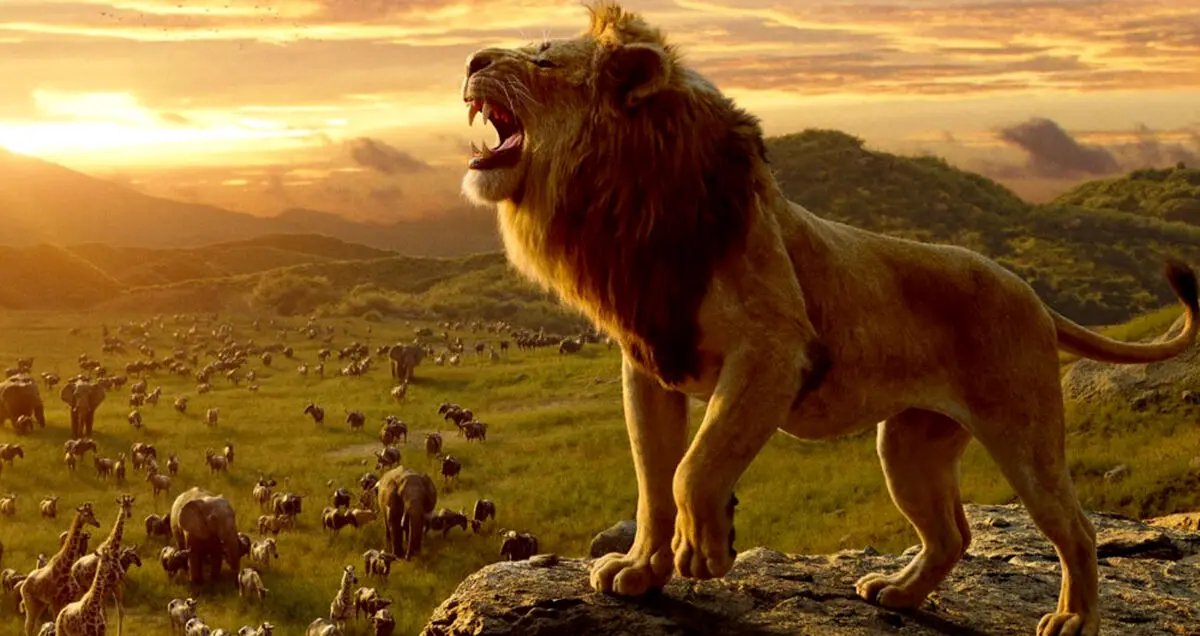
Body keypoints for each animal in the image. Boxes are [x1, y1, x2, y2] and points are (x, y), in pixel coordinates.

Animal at [456, 3, 1199, 635]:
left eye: (543, 59)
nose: (471, 59)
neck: (625, 207)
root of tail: (1034, 296)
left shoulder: (775, 350)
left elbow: (695, 466)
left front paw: (705, 551)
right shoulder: (649, 364)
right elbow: (652, 481)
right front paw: (641, 572)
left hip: (1024, 434)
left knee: (1075, 527)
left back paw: (1073, 618)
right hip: (909, 445)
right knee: (952, 533)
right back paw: (897, 593)